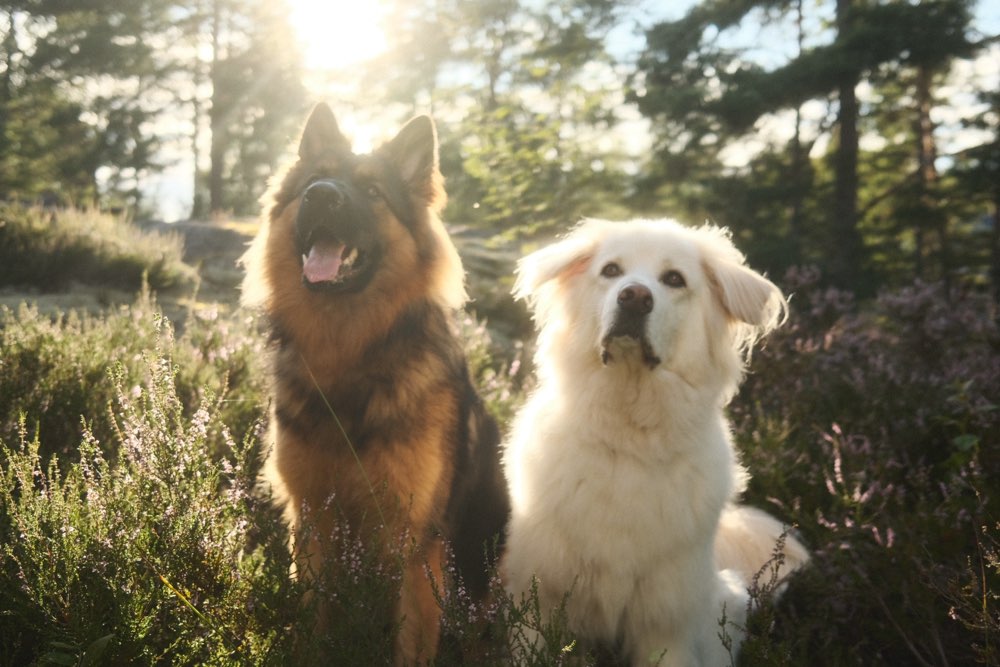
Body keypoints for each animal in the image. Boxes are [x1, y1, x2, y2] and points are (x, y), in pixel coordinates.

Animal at [240, 103, 508, 664]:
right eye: (313, 183)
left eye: (372, 191)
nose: (322, 196)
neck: (348, 356)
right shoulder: (312, 521)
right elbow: (313, 623)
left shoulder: (414, 542)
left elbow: (409, 645)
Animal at [504, 219, 808, 667]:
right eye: (611, 270)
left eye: (674, 279)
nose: (634, 297)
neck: (629, 437)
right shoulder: (538, 599)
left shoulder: (665, 621)